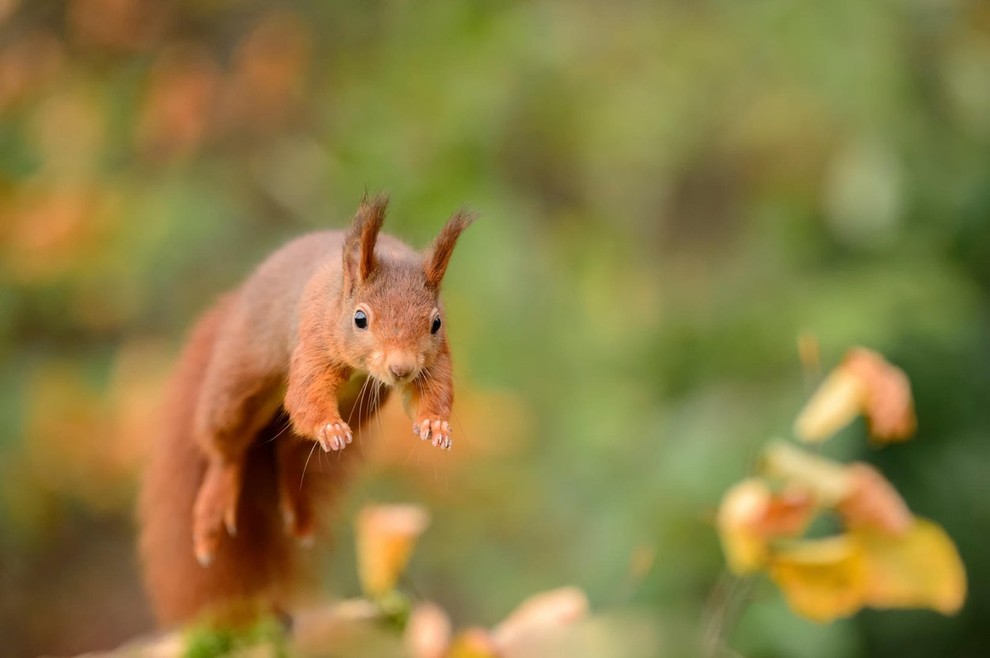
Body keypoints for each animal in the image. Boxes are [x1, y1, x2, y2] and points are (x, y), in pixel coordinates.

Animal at [138, 196, 474, 624]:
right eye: (360, 318)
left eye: (436, 323)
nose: (401, 369)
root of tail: (238, 297)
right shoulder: (313, 339)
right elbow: (305, 397)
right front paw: (328, 428)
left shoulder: (435, 360)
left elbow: (435, 388)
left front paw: (435, 424)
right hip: (237, 384)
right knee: (226, 448)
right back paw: (216, 503)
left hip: (359, 408)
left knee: (290, 450)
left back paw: (297, 508)